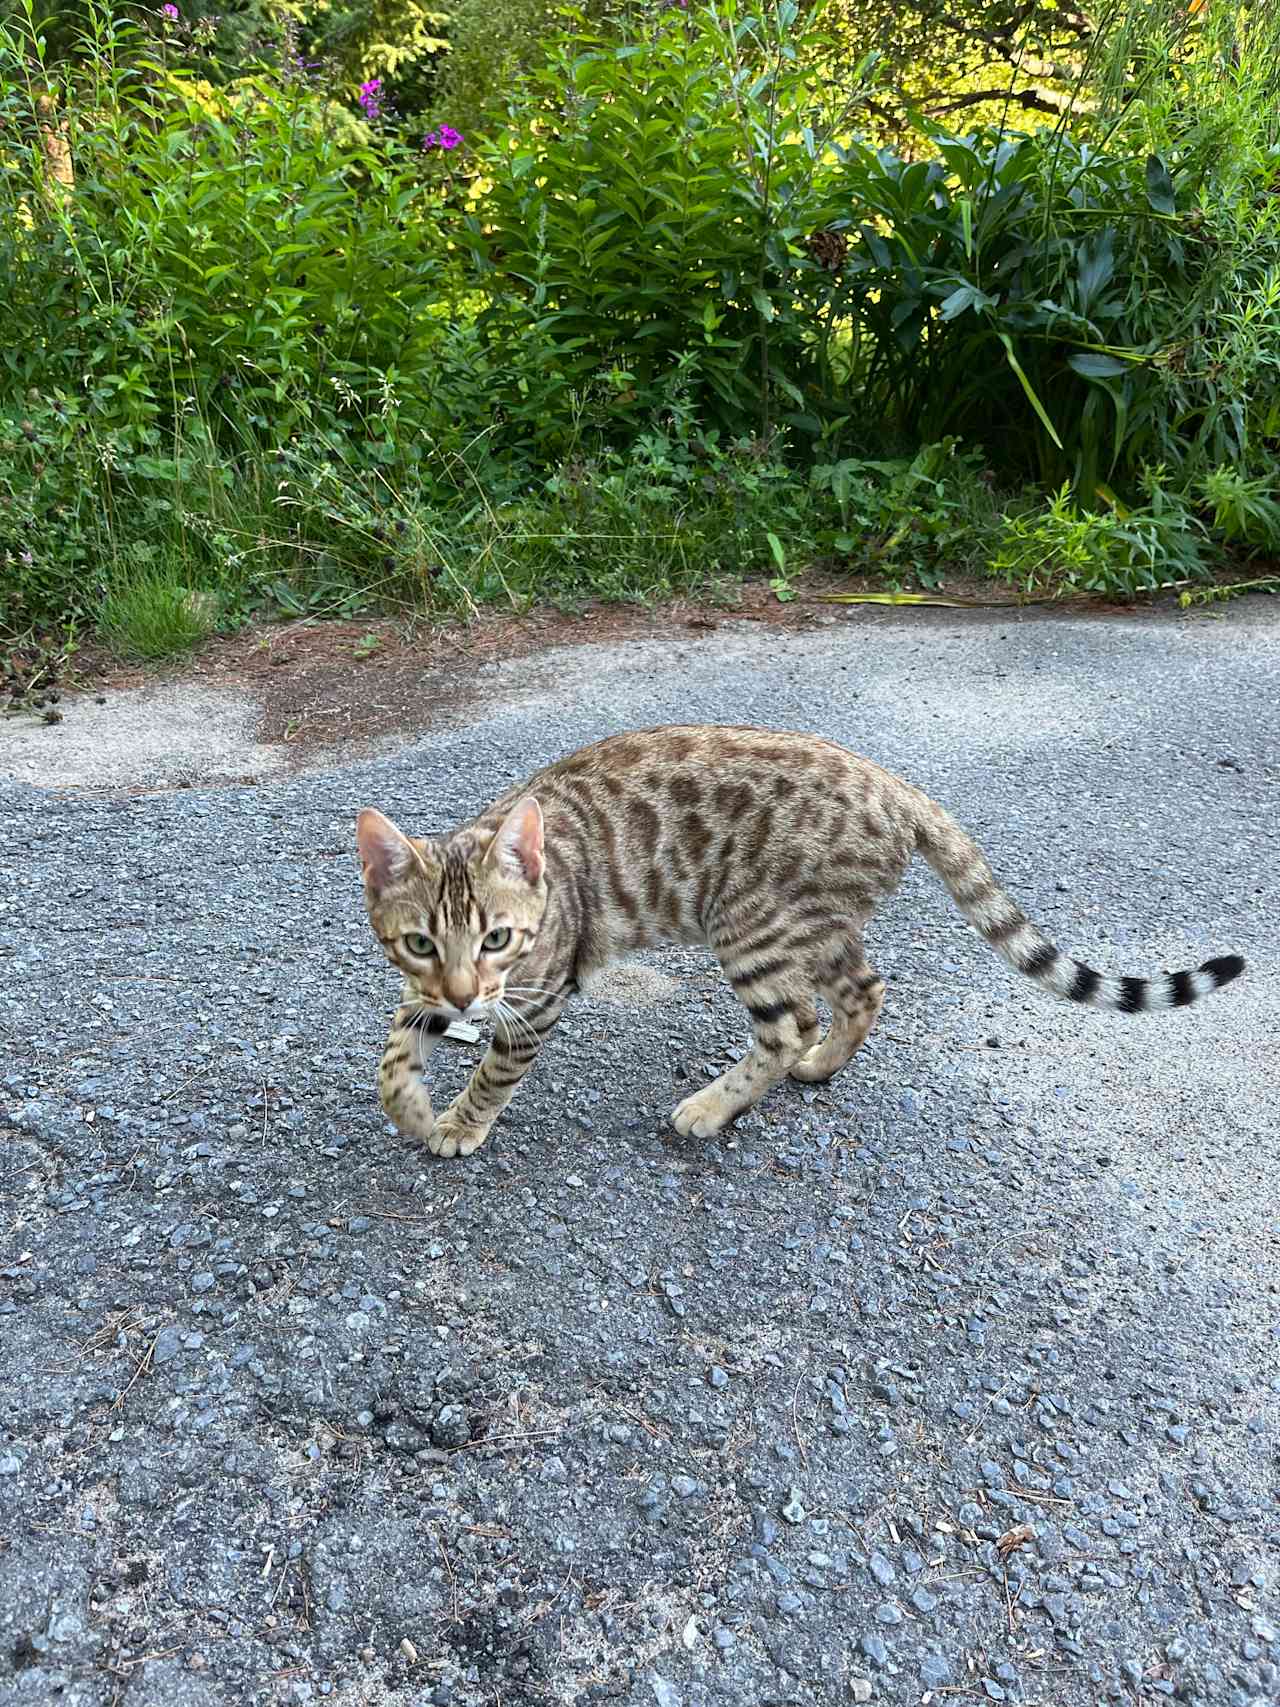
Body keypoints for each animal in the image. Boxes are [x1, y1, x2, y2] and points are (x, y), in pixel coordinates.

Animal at [356, 727, 1249, 1153]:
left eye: (499, 937)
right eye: (422, 944)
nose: (465, 991)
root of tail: (899, 787)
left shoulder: (534, 994)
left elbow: (492, 1070)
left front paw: (459, 1121)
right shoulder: (429, 992)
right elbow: (393, 1056)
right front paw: (412, 1104)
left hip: (751, 924)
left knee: (789, 1025)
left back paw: (714, 1105)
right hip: (813, 927)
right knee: (863, 990)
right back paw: (822, 1065)